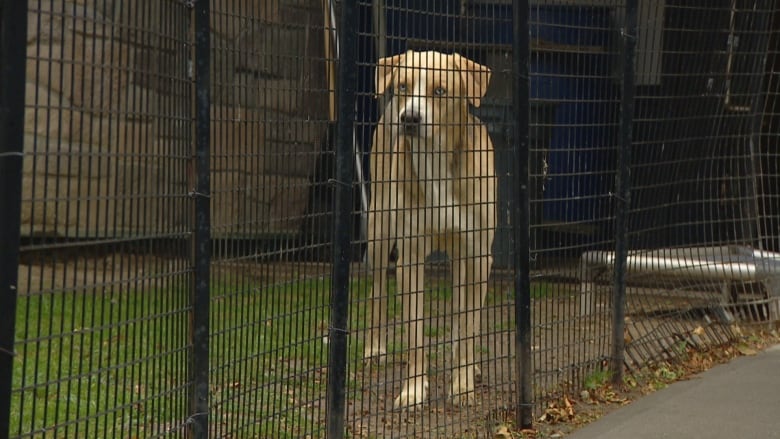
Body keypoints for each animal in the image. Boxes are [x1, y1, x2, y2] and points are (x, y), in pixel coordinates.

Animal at [364, 50, 496, 410]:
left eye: (440, 91)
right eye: (403, 86)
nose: (409, 118)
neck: (436, 161)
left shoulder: (478, 254)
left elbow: (469, 322)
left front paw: (462, 384)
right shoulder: (410, 256)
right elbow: (414, 331)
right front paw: (413, 391)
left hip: (463, 258)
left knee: (463, 312)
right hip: (378, 226)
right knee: (377, 289)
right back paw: (374, 348)